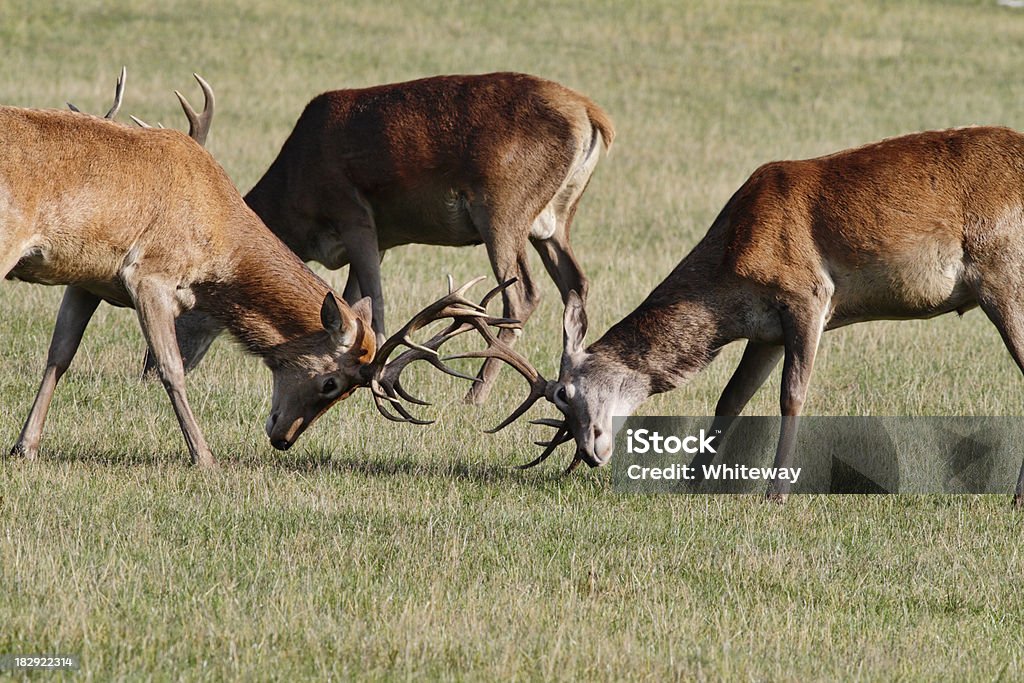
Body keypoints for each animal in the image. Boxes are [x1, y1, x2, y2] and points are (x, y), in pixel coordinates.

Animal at [2, 77, 505, 466]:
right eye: (332, 384)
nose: (283, 439)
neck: (218, 249)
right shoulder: (150, 275)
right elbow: (172, 368)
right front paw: (204, 457)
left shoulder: (87, 278)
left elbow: (59, 356)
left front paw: (25, 446)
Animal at [149, 73, 614, 405]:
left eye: (188, 303)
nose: (150, 369)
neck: (296, 199)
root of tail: (595, 117)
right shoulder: (384, 239)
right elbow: (354, 302)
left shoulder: (355, 214)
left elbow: (375, 303)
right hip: (554, 220)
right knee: (575, 284)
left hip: (502, 208)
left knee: (521, 294)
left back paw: (476, 394)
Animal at [483, 125, 1024, 507]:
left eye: (564, 393)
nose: (591, 453)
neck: (728, 276)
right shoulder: (766, 331)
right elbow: (731, 397)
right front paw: (691, 481)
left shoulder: (808, 295)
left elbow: (791, 395)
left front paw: (775, 493)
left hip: (1004, 276)